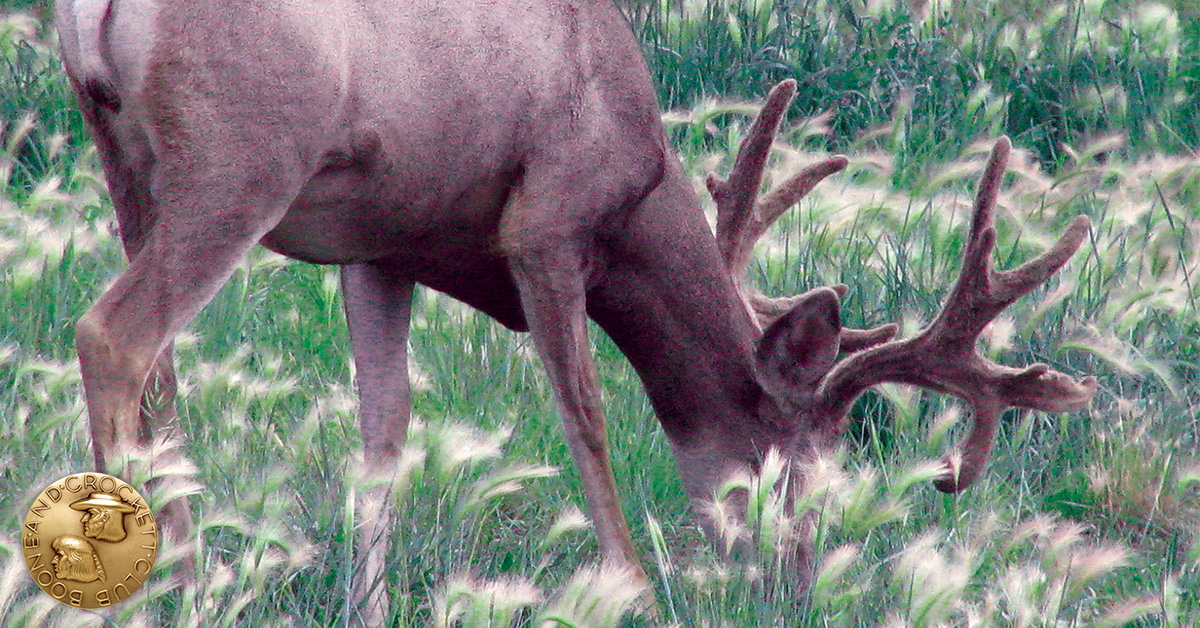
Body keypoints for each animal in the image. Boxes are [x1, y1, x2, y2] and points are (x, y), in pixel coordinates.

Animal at [53, 0, 1095, 624]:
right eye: (800, 474)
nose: (795, 589)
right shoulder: (546, 221)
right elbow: (584, 412)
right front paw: (632, 586)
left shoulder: (382, 243)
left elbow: (384, 428)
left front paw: (371, 604)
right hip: (244, 158)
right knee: (113, 335)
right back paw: (169, 590)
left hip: (129, 163)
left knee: (160, 373)